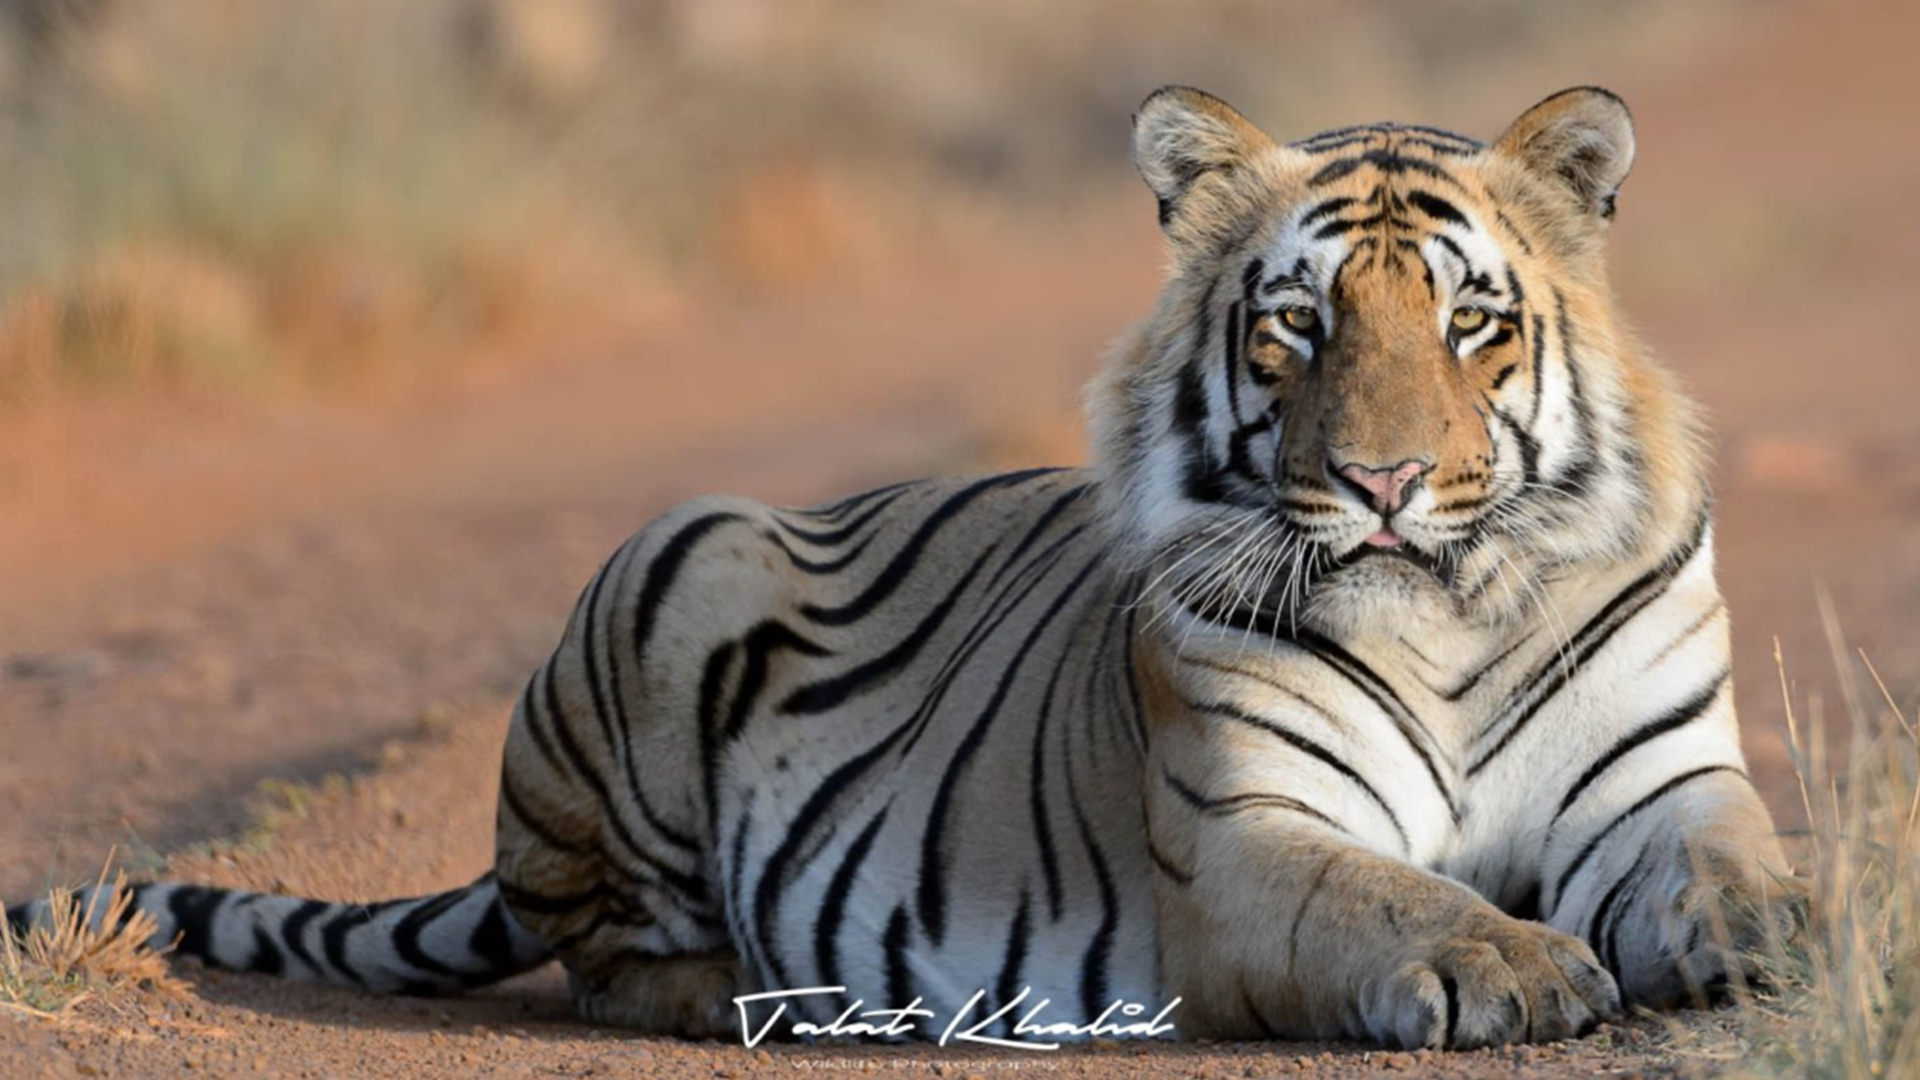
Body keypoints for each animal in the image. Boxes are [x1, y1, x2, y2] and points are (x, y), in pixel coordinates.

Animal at [10, 86, 1797, 1050]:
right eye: (1297, 326)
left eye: (1470, 321)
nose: (1382, 482)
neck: (1452, 611)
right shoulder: (1249, 844)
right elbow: (1387, 897)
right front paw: (1514, 966)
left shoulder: (1661, 789)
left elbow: (1737, 870)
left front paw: (1792, 939)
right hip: (679, 556)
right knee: (607, 959)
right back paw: (775, 995)